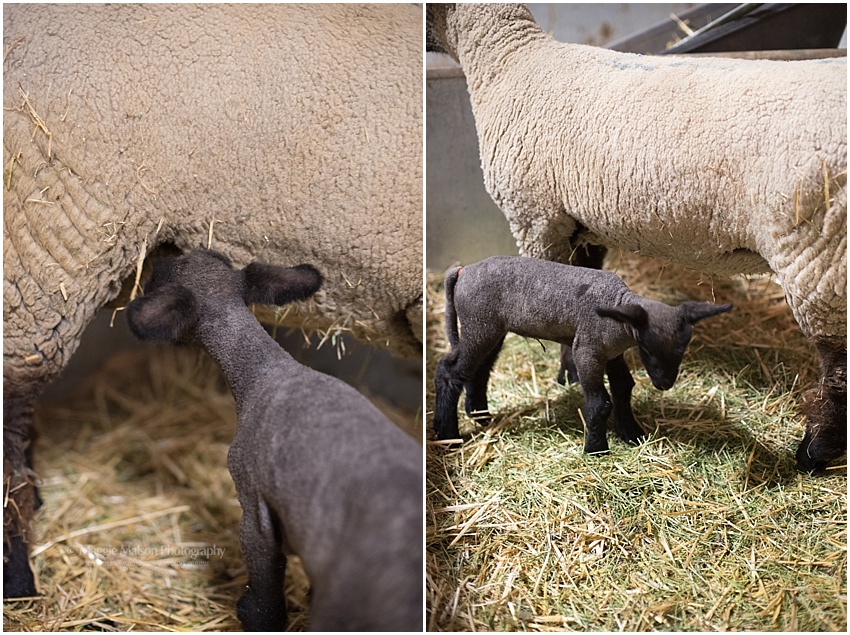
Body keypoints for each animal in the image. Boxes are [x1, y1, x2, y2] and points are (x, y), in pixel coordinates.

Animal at [126, 249, 422, 632]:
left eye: (160, 276)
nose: (155, 262)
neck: (264, 370)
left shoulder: (254, 504)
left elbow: (264, 582)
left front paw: (255, 616)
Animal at [434, 256, 732, 454]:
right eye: (647, 349)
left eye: (683, 349)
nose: (664, 384)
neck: (619, 314)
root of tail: (462, 271)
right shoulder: (588, 351)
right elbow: (600, 403)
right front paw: (596, 449)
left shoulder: (612, 354)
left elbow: (624, 386)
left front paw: (631, 433)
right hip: (479, 324)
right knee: (449, 372)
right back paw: (448, 434)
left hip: (490, 328)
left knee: (478, 370)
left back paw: (480, 415)